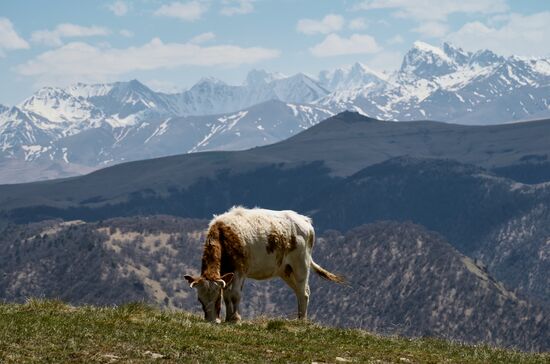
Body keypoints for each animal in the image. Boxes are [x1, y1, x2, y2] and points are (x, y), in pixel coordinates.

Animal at [185, 206, 344, 322]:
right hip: (286, 270)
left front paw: (235, 319)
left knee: (304, 292)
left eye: (216, 297)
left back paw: (302, 321)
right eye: (200, 299)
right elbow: (228, 295)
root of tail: (304, 220)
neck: (224, 235)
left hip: (301, 265)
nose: (211, 320)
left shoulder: (240, 270)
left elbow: (234, 295)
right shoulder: (227, 274)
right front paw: (228, 317)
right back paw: (299, 318)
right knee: (300, 291)